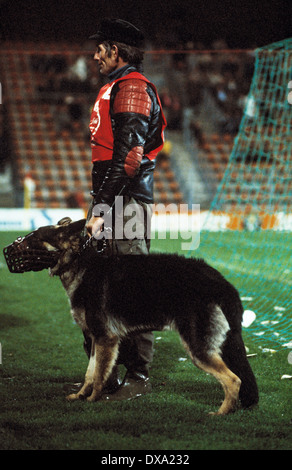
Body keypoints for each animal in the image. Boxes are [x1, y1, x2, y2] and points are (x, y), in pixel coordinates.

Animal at [4, 218, 258, 414]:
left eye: (34, 237)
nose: (8, 251)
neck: (80, 263)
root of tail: (222, 283)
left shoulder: (106, 339)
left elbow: (99, 375)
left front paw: (93, 401)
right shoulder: (96, 339)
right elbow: (89, 373)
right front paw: (80, 396)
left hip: (198, 349)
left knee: (233, 380)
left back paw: (221, 413)